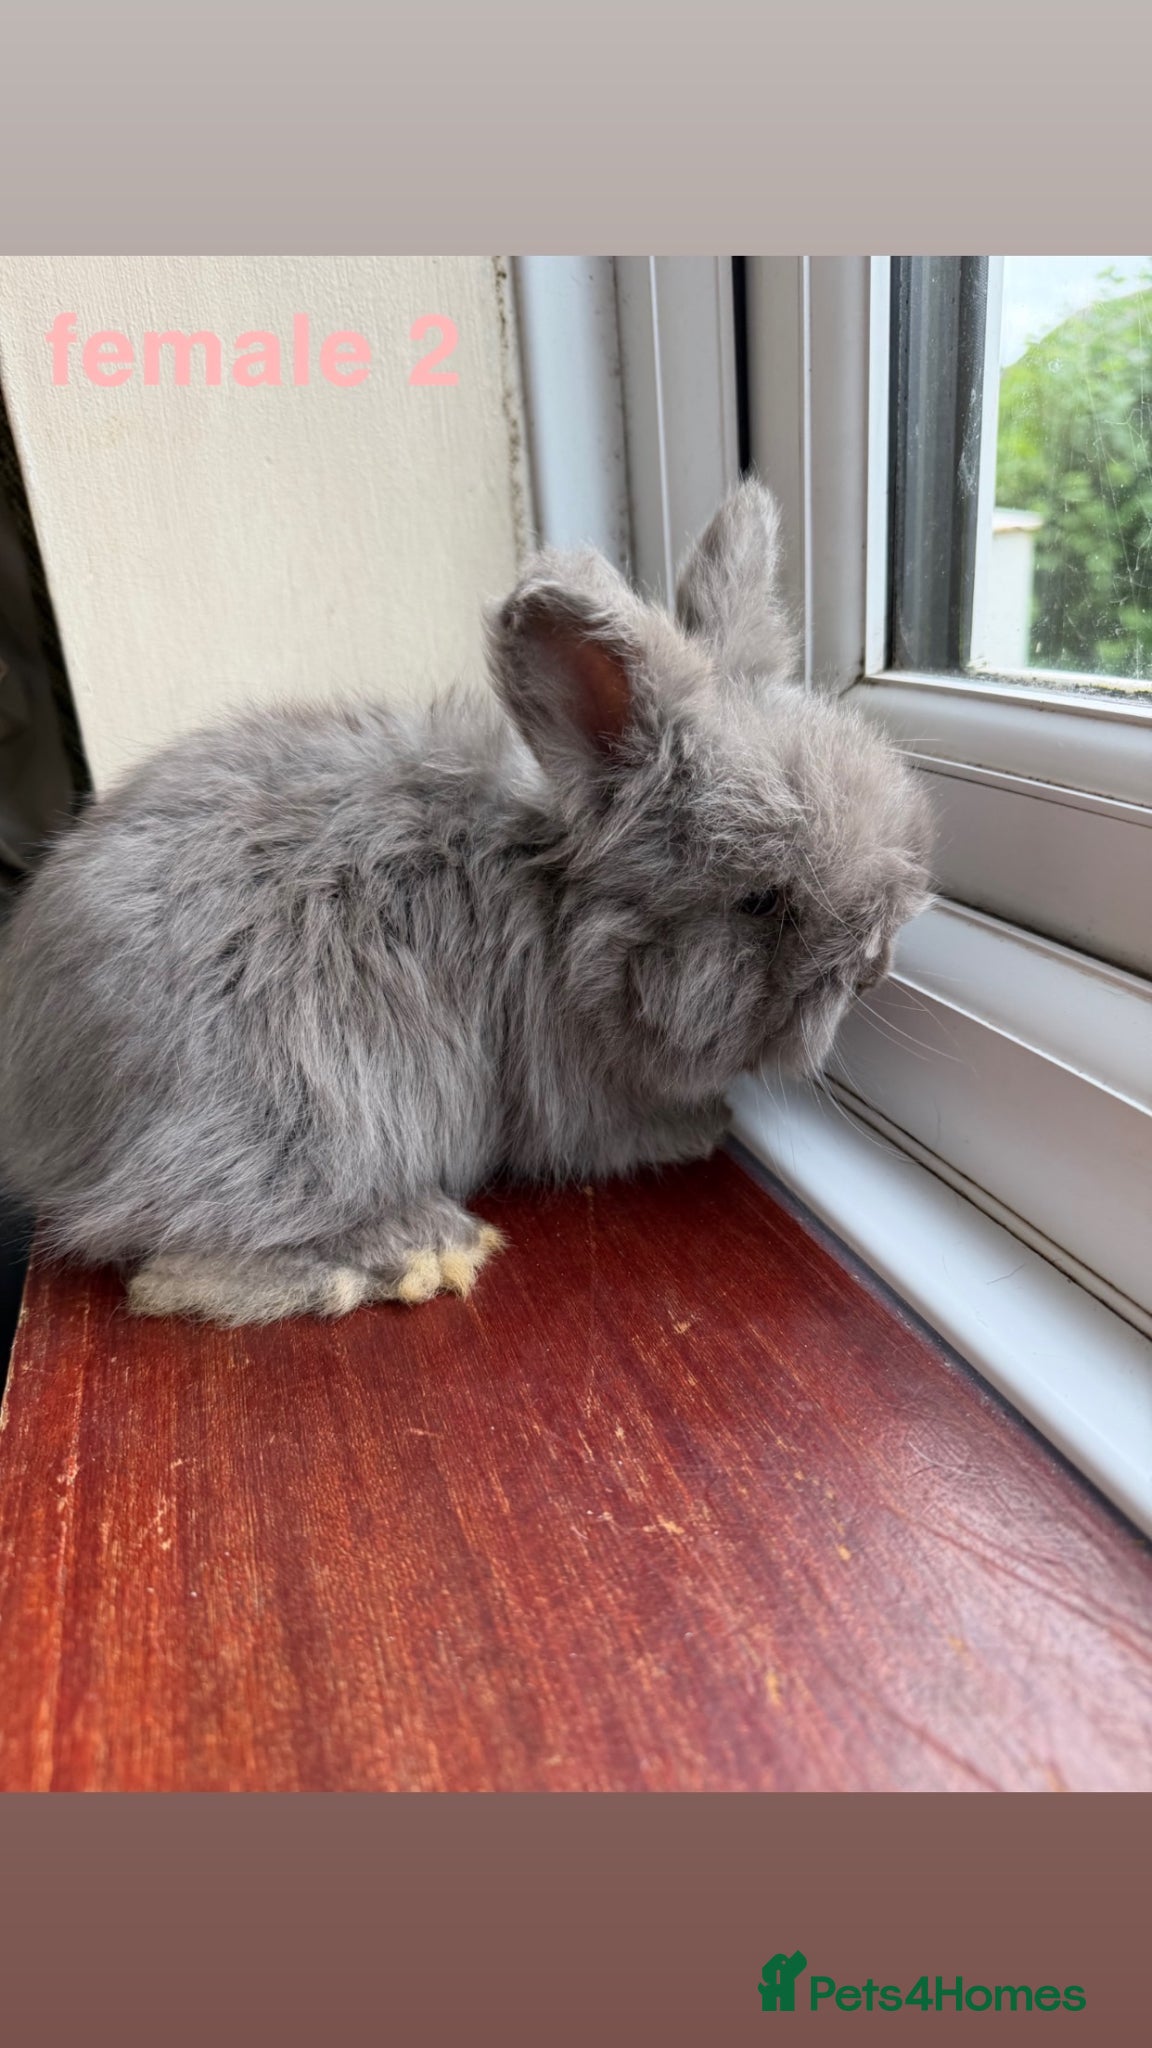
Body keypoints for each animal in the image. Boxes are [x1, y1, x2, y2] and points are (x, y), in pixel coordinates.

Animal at [0, 479, 932, 1325]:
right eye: (762, 902)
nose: (876, 969)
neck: (565, 915)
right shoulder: (577, 1099)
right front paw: (702, 1127)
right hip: (301, 1113)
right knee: (166, 1264)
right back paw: (417, 1250)